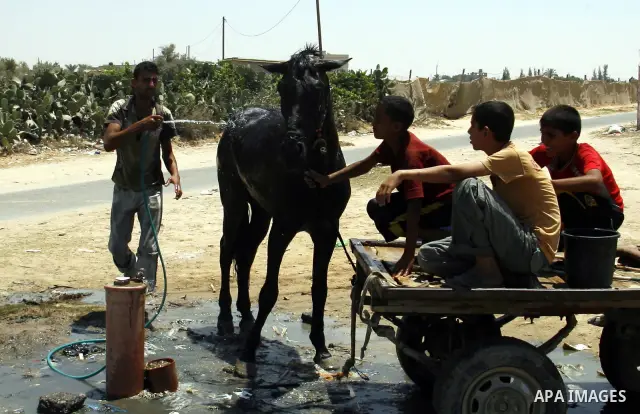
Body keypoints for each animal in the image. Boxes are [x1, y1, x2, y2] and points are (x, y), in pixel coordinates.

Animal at [216, 45, 352, 377]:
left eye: (318, 89)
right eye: (282, 88)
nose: (292, 149)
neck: (315, 175)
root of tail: (236, 119)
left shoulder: (327, 232)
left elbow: (320, 289)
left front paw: (322, 348)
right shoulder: (283, 228)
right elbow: (270, 292)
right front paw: (247, 354)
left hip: (260, 212)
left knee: (245, 254)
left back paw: (245, 314)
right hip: (234, 203)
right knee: (227, 250)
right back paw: (225, 316)